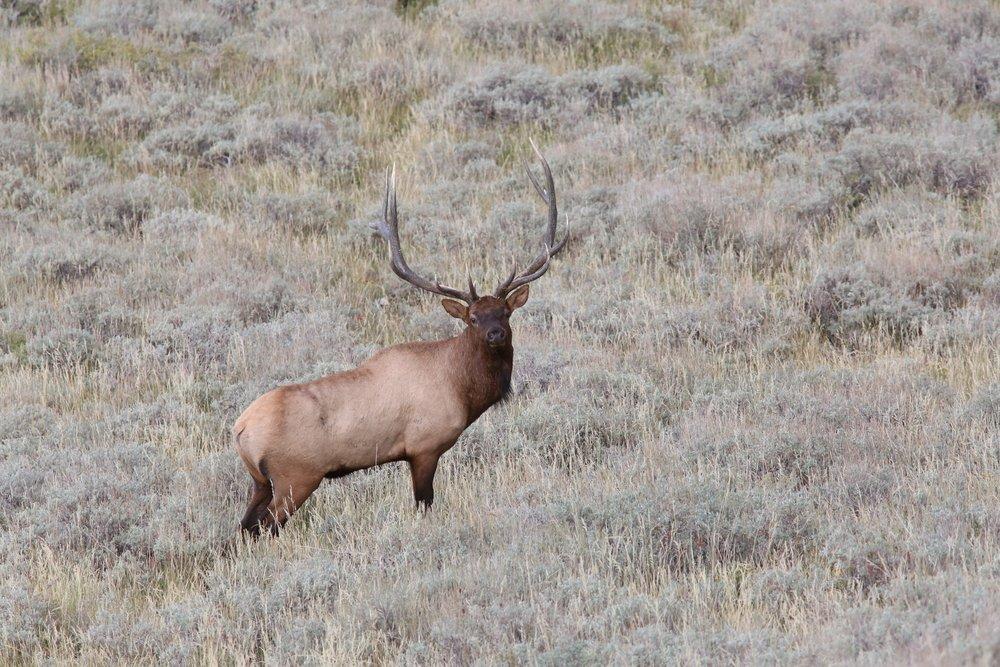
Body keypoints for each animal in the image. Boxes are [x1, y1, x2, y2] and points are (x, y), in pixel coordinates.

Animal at [229, 144, 568, 540]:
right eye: (472, 318)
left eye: (505, 313)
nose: (495, 334)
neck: (463, 389)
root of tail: (241, 430)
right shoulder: (424, 447)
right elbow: (424, 504)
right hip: (294, 477)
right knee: (265, 528)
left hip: (260, 483)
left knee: (242, 530)